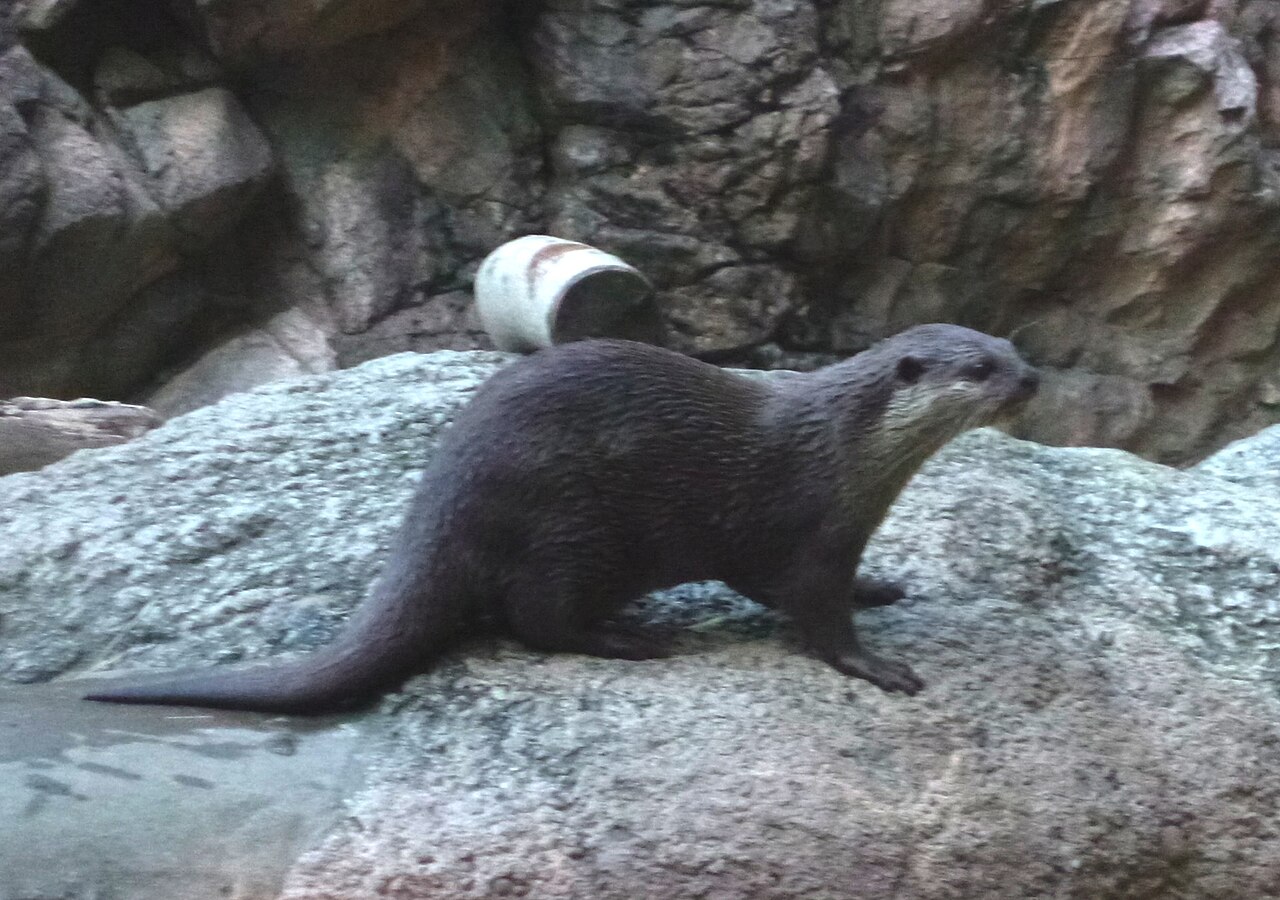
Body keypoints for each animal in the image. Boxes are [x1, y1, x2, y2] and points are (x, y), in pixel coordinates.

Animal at [84, 324, 1039, 714]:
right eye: (980, 367)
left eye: (1013, 347)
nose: (1030, 378)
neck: (844, 450)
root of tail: (444, 497)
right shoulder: (807, 531)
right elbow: (816, 620)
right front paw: (877, 666)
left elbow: (810, 590)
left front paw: (881, 587)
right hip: (573, 529)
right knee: (534, 620)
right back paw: (635, 637)